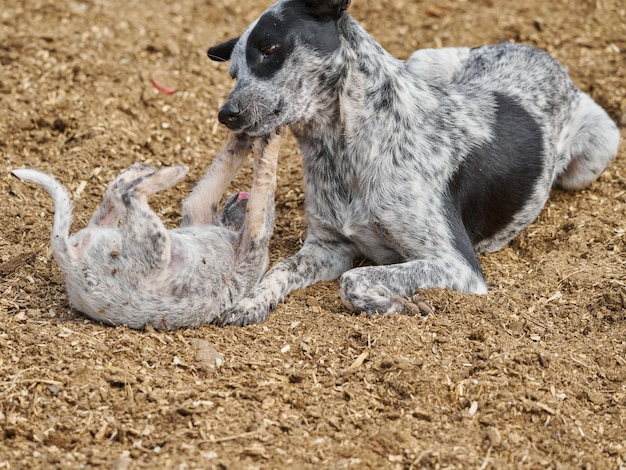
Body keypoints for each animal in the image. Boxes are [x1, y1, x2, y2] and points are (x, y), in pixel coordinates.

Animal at [12, 126, 282, 328]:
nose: (240, 195)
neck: (233, 231)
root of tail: (72, 264)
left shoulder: (254, 233)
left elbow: (265, 176)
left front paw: (271, 137)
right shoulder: (200, 207)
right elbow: (229, 159)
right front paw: (247, 135)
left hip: (155, 245)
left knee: (126, 193)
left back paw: (165, 172)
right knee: (118, 191)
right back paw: (147, 170)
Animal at [207, 0, 616, 326]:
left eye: (270, 48)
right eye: (233, 73)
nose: (226, 114)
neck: (342, 149)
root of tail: (536, 51)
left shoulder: (458, 266)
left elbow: (353, 280)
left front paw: (398, 305)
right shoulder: (328, 247)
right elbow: (279, 269)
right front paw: (250, 302)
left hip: (599, 149)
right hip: (423, 58)